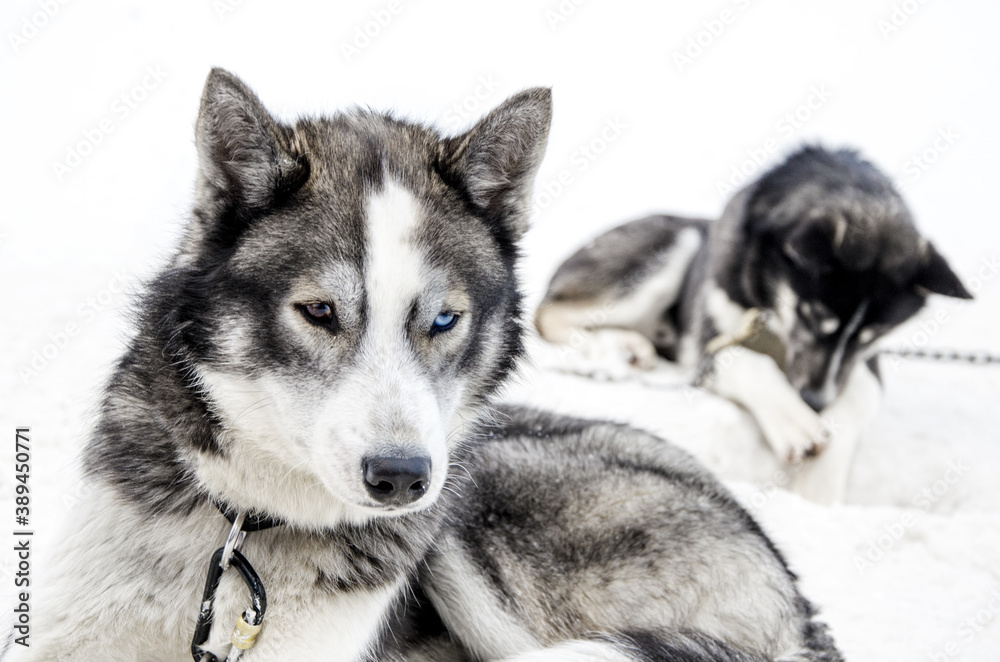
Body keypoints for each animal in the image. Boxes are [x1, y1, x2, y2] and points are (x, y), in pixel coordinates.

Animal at [11, 70, 844, 660]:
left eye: (443, 319)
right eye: (319, 311)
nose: (403, 477)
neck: (242, 532)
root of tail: (798, 597)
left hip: (481, 528)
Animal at [540, 147, 968, 504]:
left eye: (873, 335)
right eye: (812, 315)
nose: (814, 401)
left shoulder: (864, 366)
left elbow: (854, 400)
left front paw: (817, 486)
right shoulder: (711, 343)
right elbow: (746, 362)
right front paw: (796, 423)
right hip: (676, 247)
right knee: (548, 315)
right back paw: (610, 350)